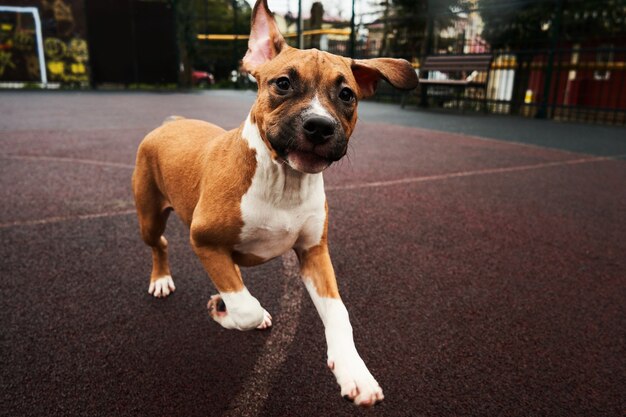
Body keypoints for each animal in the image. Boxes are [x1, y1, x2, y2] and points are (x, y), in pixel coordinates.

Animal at [132, 0, 414, 404]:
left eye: (347, 95)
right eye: (282, 83)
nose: (319, 126)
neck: (283, 181)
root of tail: (172, 121)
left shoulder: (315, 254)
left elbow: (339, 313)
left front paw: (353, 370)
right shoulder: (205, 242)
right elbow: (245, 305)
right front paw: (223, 310)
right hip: (149, 216)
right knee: (161, 242)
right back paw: (161, 279)